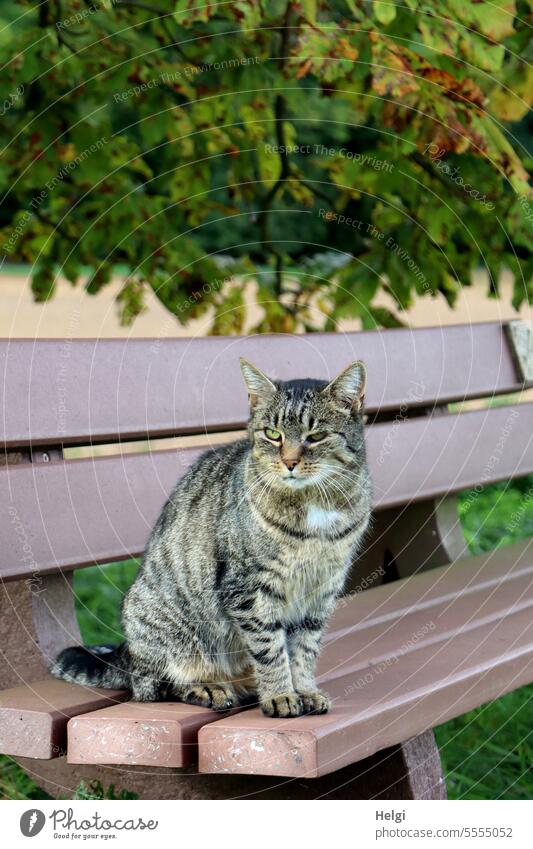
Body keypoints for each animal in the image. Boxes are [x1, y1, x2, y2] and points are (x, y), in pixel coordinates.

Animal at [52, 356, 372, 716]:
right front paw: (280, 695)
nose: (289, 462)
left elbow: (304, 648)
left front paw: (304, 690)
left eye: (315, 435)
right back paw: (209, 687)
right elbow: (270, 649)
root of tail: (128, 652)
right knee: (154, 686)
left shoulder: (321, 591)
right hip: (165, 627)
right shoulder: (249, 589)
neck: (314, 506)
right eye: (272, 434)